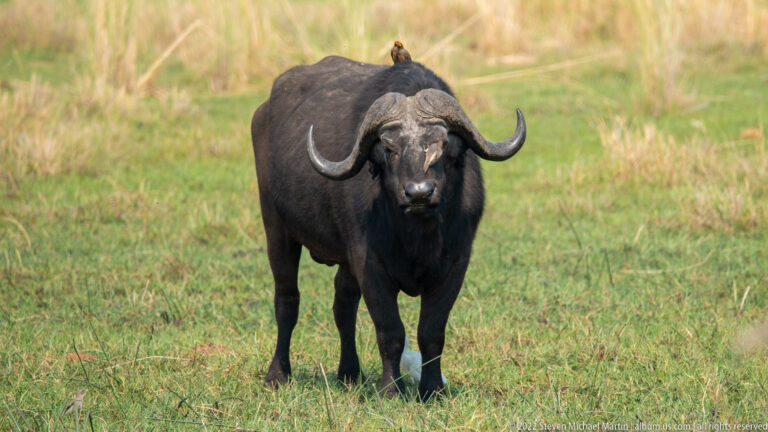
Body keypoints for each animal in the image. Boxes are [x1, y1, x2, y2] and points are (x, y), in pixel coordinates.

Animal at [250, 53, 526, 400]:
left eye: (441, 143)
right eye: (389, 148)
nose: (419, 193)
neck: (417, 236)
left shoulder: (455, 265)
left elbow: (431, 332)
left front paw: (431, 389)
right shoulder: (370, 263)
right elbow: (390, 330)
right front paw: (390, 389)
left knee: (343, 305)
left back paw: (349, 373)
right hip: (276, 227)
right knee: (287, 300)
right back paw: (278, 374)